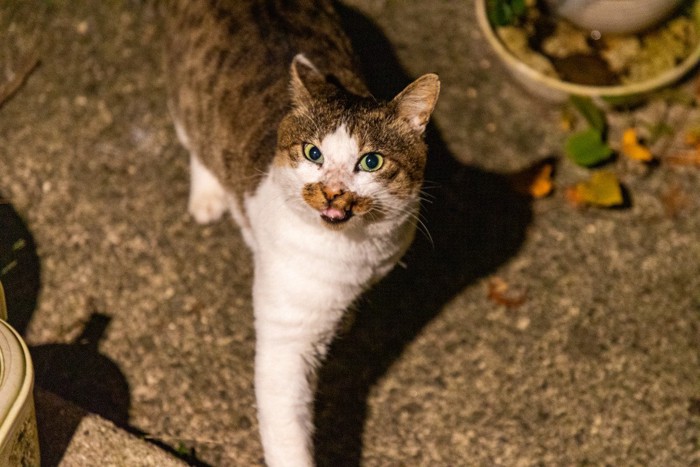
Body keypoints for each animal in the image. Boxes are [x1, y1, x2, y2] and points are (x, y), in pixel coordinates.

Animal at [163, 1, 438, 466]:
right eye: (313, 154)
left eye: (371, 161)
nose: (333, 191)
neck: (353, 254)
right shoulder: (287, 335)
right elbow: (287, 425)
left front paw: (347, 318)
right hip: (188, 96)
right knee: (195, 137)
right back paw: (208, 193)